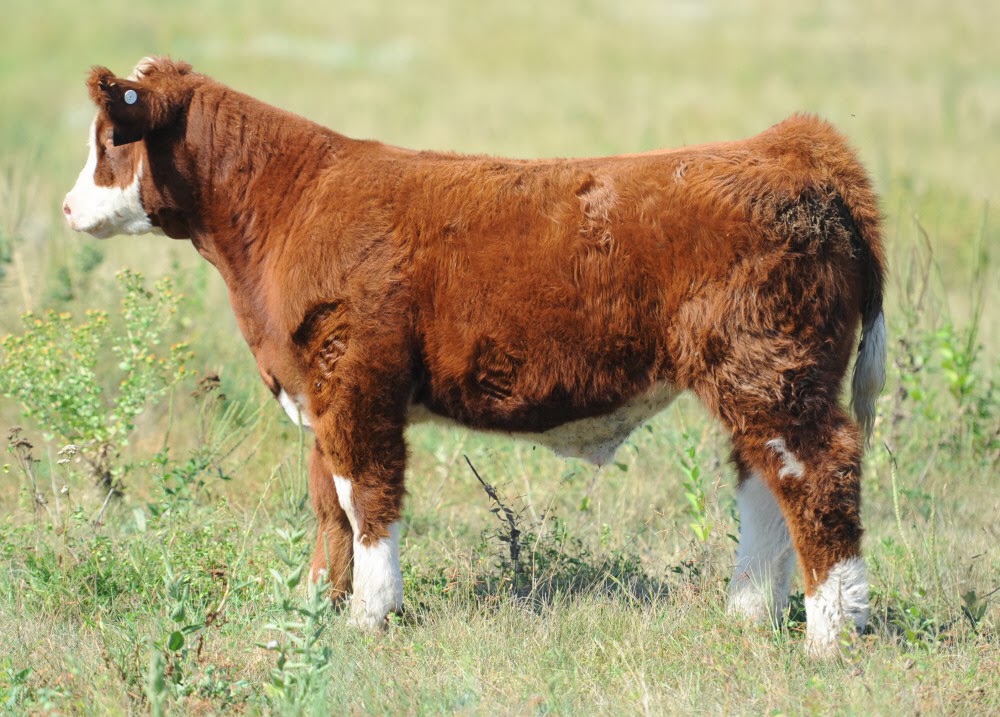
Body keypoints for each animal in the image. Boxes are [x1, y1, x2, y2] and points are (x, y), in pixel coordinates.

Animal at [63, 57, 886, 655]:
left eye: (109, 141)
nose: (69, 207)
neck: (289, 204)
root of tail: (786, 147)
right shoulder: (318, 387)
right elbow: (328, 503)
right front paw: (311, 605)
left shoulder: (357, 382)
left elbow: (367, 498)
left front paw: (370, 615)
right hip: (754, 381)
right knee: (763, 484)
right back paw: (747, 613)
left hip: (771, 371)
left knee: (819, 474)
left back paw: (831, 634)